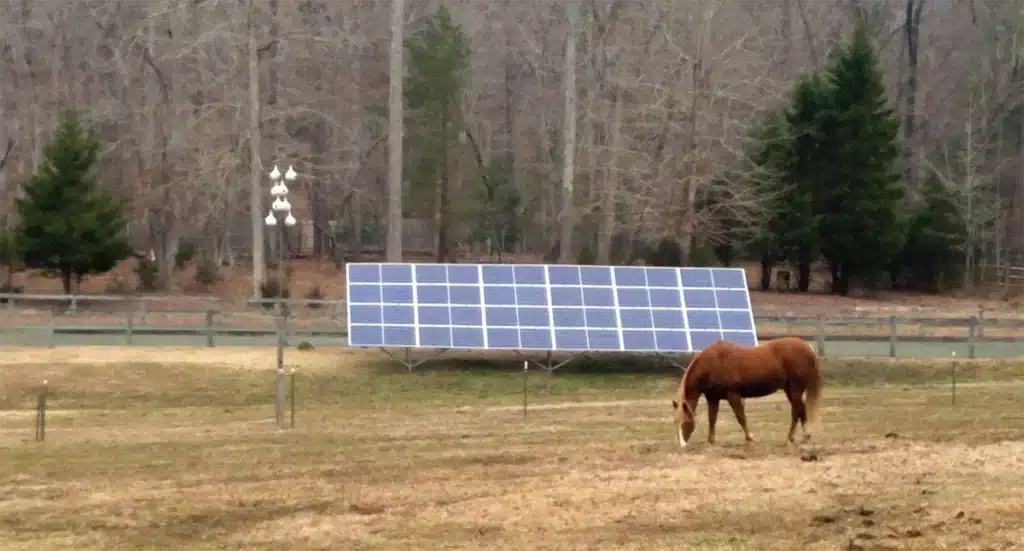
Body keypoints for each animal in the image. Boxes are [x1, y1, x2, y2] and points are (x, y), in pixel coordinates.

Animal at [671, 333, 823, 446]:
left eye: (686, 421)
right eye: (675, 422)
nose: (683, 445)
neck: (712, 363)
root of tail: (808, 348)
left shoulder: (733, 395)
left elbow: (741, 417)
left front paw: (749, 438)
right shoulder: (713, 398)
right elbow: (712, 418)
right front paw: (711, 440)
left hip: (795, 389)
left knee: (797, 410)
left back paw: (793, 438)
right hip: (790, 390)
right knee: (800, 410)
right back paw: (800, 437)